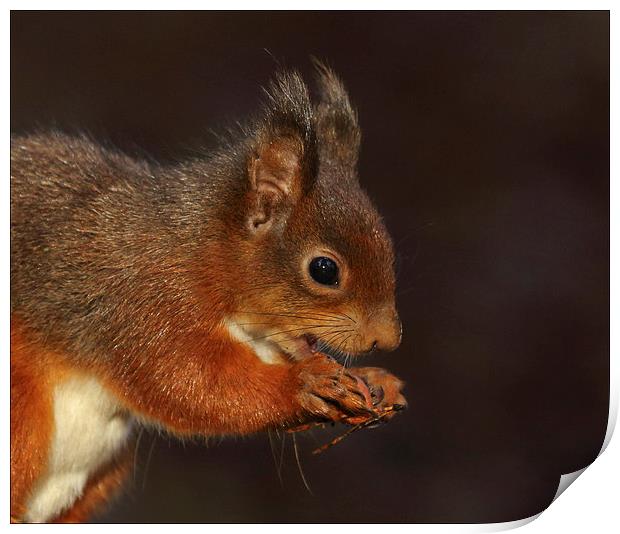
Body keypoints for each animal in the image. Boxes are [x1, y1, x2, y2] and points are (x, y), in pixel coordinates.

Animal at [12, 65, 406, 524]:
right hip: (21, 410)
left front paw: (377, 380)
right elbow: (185, 379)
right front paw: (301, 384)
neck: (201, 250)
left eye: (388, 247)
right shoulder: (142, 298)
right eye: (324, 270)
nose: (387, 339)